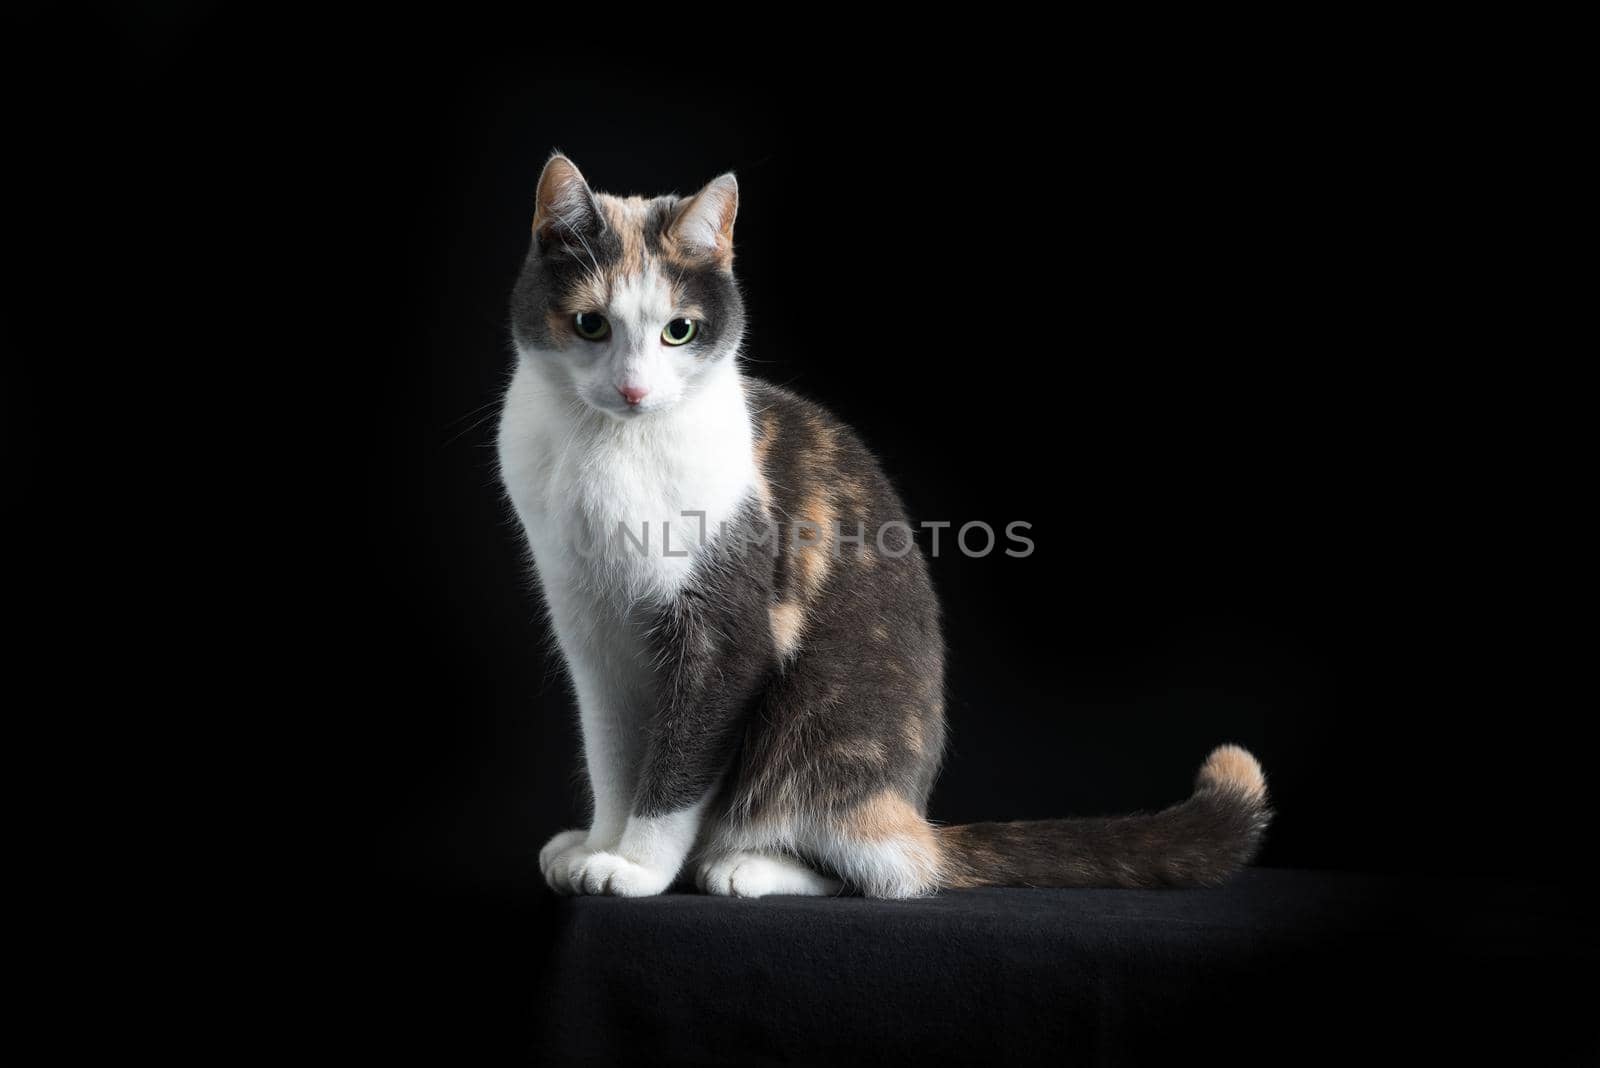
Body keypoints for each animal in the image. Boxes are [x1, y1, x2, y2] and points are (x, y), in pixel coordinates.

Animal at [492, 154, 1267, 895]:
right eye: (591, 324)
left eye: (678, 331)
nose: (634, 389)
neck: (611, 446)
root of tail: (913, 811)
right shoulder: (592, 636)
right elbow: (613, 755)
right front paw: (600, 844)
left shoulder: (727, 634)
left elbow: (679, 762)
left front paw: (637, 868)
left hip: (824, 718)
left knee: (882, 869)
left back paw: (747, 866)